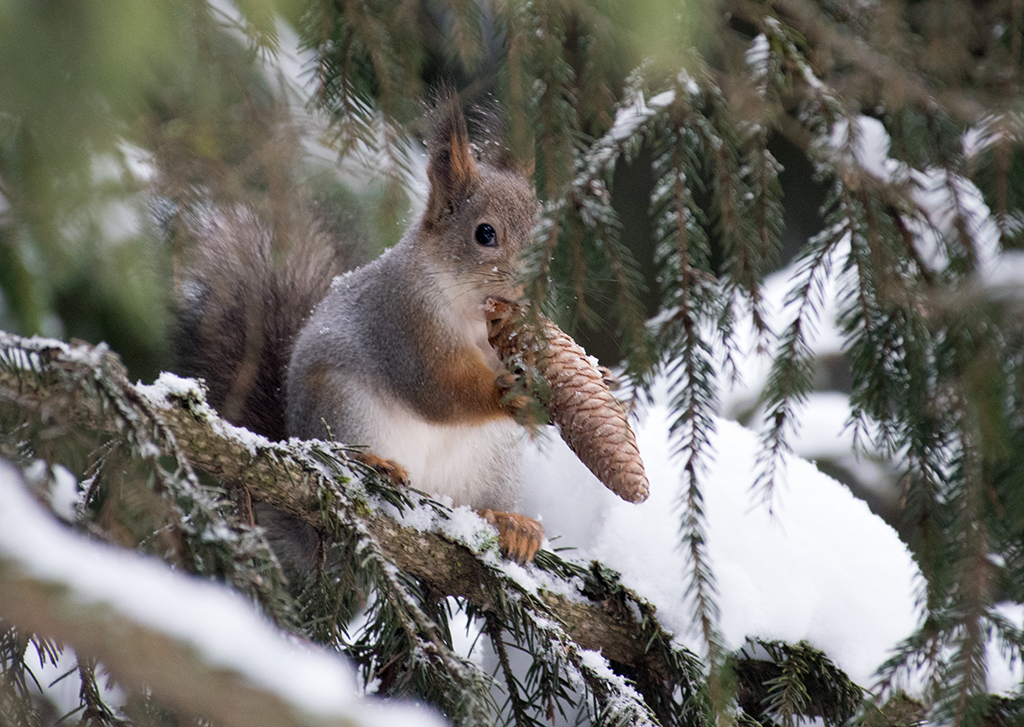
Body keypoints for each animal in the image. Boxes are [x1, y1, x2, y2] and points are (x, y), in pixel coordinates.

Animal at [174, 98, 544, 573]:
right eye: (485, 233)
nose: (532, 287)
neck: (472, 318)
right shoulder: (402, 325)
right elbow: (438, 389)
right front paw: (506, 393)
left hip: (495, 461)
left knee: (480, 507)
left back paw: (511, 523)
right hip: (345, 404)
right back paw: (375, 463)